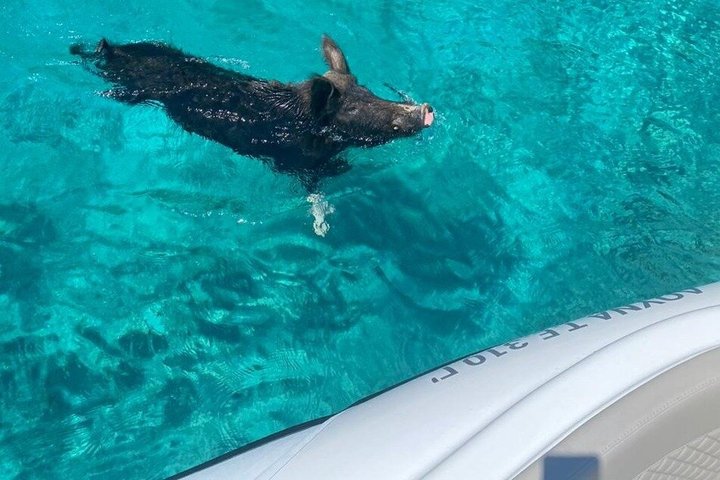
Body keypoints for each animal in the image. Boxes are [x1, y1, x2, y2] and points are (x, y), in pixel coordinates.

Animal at [71, 35, 434, 191]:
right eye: (353, 106)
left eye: (367, 90)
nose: (427, 109)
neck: (296, 114)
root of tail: (109, 48)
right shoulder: (294, 162)